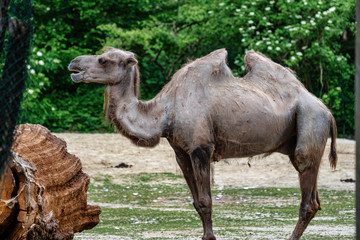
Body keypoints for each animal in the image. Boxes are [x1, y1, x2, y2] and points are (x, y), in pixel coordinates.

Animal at [68, 47, 338, 240]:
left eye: (104, 60)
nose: (73, 64)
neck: (165, 112)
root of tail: (327, 110)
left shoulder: (201, 149)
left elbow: (207, 201)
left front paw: (210, 237)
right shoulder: (181, 152)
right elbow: (197, 202)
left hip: (310, 122)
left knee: (306, 190)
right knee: (314, 198)